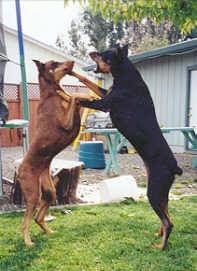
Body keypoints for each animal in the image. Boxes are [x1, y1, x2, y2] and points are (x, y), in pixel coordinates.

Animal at [17, 60, 93, 246]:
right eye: (54, 63)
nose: (72, 61)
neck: (51, 94)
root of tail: (20, 169)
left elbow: (76, 97)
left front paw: (88, 96)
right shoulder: (65, 123)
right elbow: (73, 96)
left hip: (50, 190)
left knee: (38, 217)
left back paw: (49, 231)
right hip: (33, 194)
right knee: (25, 222)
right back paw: (28, 242)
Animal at [74, 45, 183, 251]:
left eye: (104, 55)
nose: (92, 52)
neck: (125, 77)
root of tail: (175, 167)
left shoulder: (104, 104)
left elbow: (82, 99)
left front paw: (71, 96)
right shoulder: (105, 93)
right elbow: (88, 83)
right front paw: (72, 73)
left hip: (153, 191)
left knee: (169, 222)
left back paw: (160, 246)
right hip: (161, 193)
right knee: (166, 216)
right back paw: (159, 236)